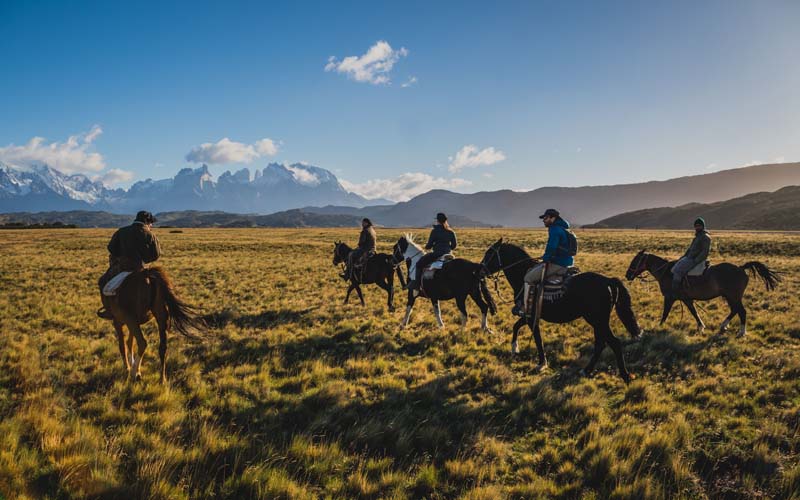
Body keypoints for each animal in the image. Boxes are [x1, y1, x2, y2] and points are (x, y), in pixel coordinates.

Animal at [478, 238, 640, 382]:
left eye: (489, 254)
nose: (479, 271)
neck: (522, 277)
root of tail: (608, 281)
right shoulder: (529, 316)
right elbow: (516, 326)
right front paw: (514, 348)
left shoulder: (531, 317)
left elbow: (537, 338)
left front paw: (541, 363)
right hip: (597, 321)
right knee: (601, 344)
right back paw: (586, 370)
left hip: (597, 320)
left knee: (614, 343)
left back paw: (625, 376)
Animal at [624, 250, 780, 336]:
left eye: (636, 260)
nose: (627, 275)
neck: (667, 272)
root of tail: (741, 268)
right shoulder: (687, 299)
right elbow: (694, 312)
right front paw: (701, 327)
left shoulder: (669, 298)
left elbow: (665, 314)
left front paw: (658, 327)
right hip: (729, 297)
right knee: (735, 310)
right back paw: (724, 325)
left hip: (733, 296)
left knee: (741, 311)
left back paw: (741, 332)